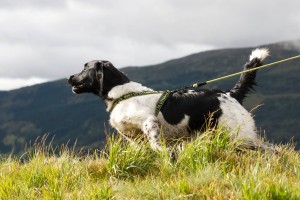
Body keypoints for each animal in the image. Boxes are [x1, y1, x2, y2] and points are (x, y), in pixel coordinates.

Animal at [68, 48, 272, 152]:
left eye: (85, 68)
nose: (69, 77)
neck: (121, 94)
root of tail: (231, 94)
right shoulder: (133, 136)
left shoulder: (149, 122)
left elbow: (156, 144)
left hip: (242, 136)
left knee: (270, 150)